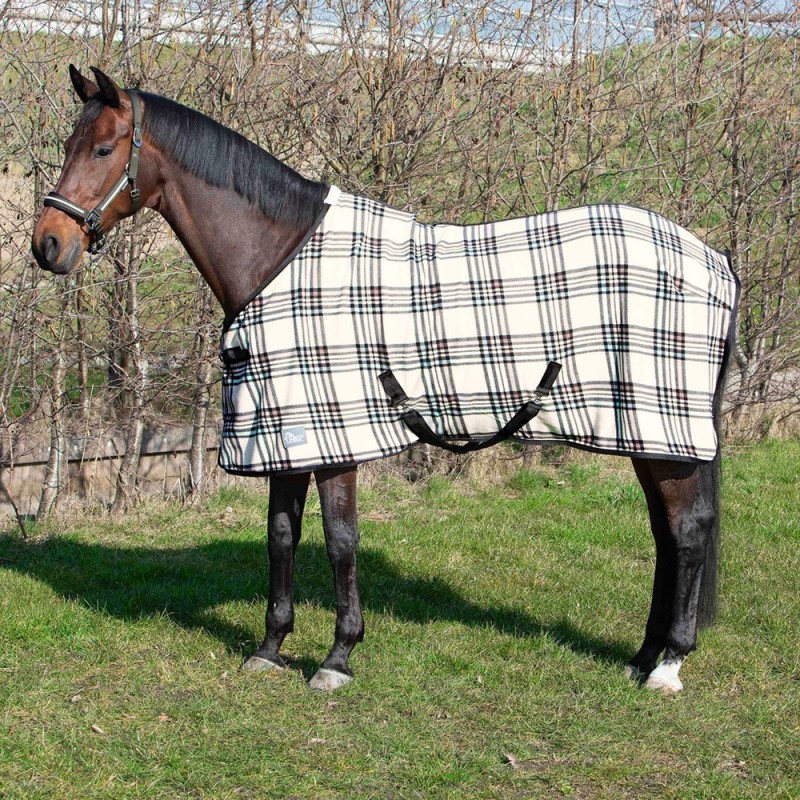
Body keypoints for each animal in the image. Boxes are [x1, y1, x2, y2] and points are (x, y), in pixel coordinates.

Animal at [32, 66, 738, 694]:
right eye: (67, 145)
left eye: (103, 148)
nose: (48, 244)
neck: (278, 257)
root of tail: (717, 262)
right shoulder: (284, 435)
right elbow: (281, 538)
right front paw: (269, 648)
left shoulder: (334, 438)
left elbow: (339, 541)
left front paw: (337, 657)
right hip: (648, 437)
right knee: (666, 535)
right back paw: (641, 657)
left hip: (665, 436)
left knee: (687, 533)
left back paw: (669, 665)